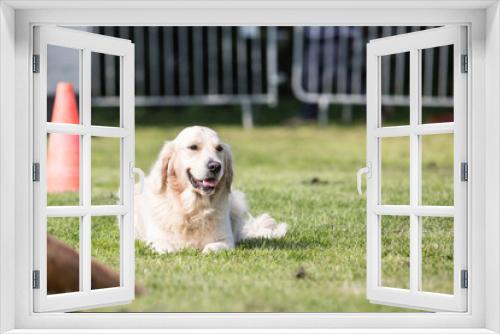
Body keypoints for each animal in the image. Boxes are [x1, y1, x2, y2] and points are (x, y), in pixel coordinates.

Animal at [135, 125, 288, 253]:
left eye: (219, 148)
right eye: (193, 147)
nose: (215, 166)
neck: (193, 209)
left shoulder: (226, 240)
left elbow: (210, 248)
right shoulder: (156, 239)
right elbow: (167, 249)